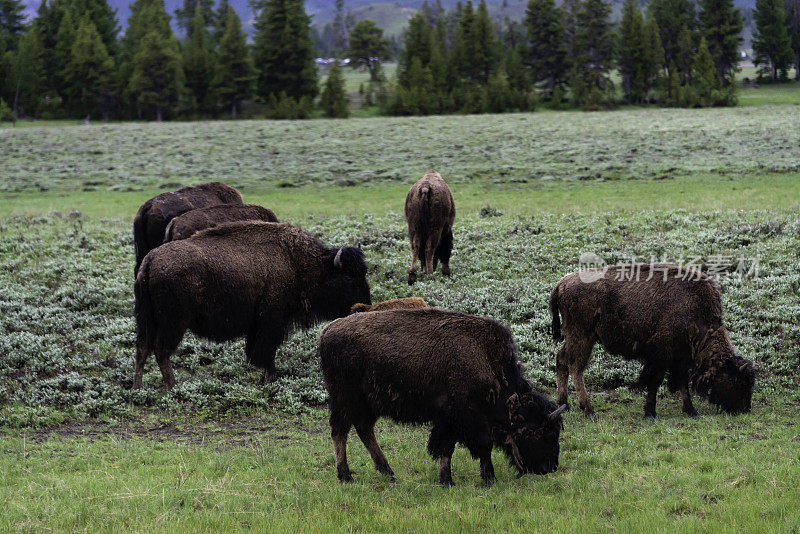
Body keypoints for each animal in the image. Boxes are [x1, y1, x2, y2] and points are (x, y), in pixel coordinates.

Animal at [134, 220, 372, 392]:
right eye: (349, 277)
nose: (364, 307)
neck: (300, 263)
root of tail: (150, 260)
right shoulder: (271, 320)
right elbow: (267, 350)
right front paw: (271, 378)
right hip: (173, 322)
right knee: (161, 350)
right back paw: (173, 387)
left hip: (146, 319)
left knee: (142, 349)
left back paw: (138, 388)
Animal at [316, 308, 564, 488]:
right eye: (540, 432)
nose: (550, 467)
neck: (487, 360)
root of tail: (327, 331)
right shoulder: (466, 416)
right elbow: (481, 445)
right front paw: (488, 479)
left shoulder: (449, 420)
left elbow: (447, 448)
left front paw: (446, 480)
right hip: (345, 399)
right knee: (340, 431)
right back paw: (346, 476)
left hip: (368, 404)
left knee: (363, 430)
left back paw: (389, 472)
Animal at [552, 266, 756, 420]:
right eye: (740, 380)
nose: (745, 409)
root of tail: (562, 282)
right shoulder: (661, 355)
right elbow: (655, 382)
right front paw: (651, 413)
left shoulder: (679, 359)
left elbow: (682, 383)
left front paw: (692, 411)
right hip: (583, 337)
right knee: (576, 368)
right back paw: (589, 410)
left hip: (574, 337)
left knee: (561, 360)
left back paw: (564, 404)